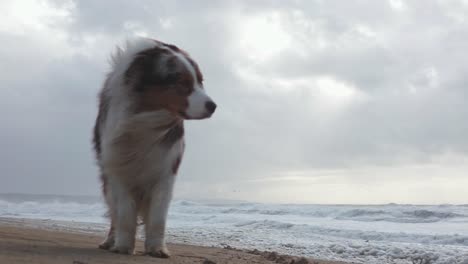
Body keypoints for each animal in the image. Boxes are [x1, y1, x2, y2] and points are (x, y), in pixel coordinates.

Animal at [92, 37, 217, 258]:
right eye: (182, 83)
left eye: (200, 81)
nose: (213, 106)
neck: (145, 118)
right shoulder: (118, 166)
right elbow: (124, 214)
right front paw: (123, 245)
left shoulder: (166, 170)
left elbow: (158, 217)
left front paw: (157, 248)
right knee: (114, 213)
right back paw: (110, 240)